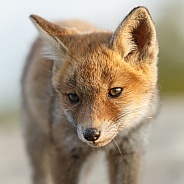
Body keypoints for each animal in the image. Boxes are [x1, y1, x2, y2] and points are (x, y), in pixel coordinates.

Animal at [21, 6, 159, 184]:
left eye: (115, 91)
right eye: (73, 97)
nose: (91, 134)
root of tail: (67, 18)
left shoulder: (130, 150)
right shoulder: (65, 151)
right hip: (38, 146)